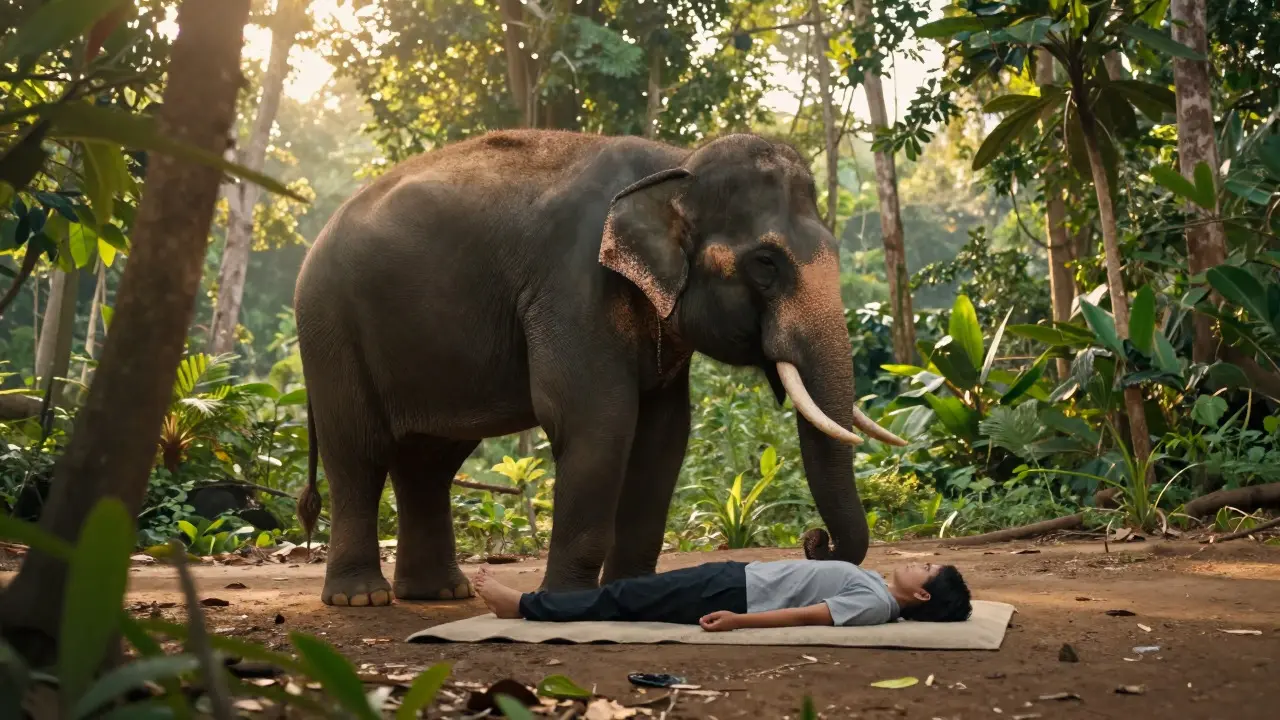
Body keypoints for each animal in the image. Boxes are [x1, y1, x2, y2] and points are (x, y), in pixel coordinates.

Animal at [292, 129, 906, 607]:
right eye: (765, 263)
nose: (814, 541)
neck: (675, 163)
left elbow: (664, 434)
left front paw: (632, 594)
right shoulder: (573, 284)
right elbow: (596, 419)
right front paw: (567, 602)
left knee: (429, 460)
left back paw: (441, 593)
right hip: (329, 328)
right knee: (358, 452)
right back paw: (360, 598)